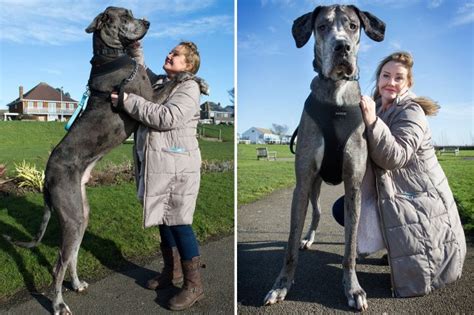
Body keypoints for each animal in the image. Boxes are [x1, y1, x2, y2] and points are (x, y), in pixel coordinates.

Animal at [4, 7, 187, 315]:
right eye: (125, 15)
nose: (148, 22)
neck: (110, 56)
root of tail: (45, 176)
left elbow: (164, 76)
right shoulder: (147, 98)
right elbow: (171, 81)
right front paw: (192, 77)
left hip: (81, 213)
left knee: (72, 256)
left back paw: (77, 285)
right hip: (72, 216)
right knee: (58, 265)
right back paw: (58, 304)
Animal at [262, 5, 386, 314]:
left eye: (353, 26)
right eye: (321, 27)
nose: (342, 47)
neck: (336, 94)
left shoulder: (353, 185)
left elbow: (350, 246)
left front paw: (352, 288)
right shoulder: (302, 183)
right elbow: (290, 243)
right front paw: (281, 284)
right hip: (314, 188)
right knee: (316, 213)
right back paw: (308, 238)